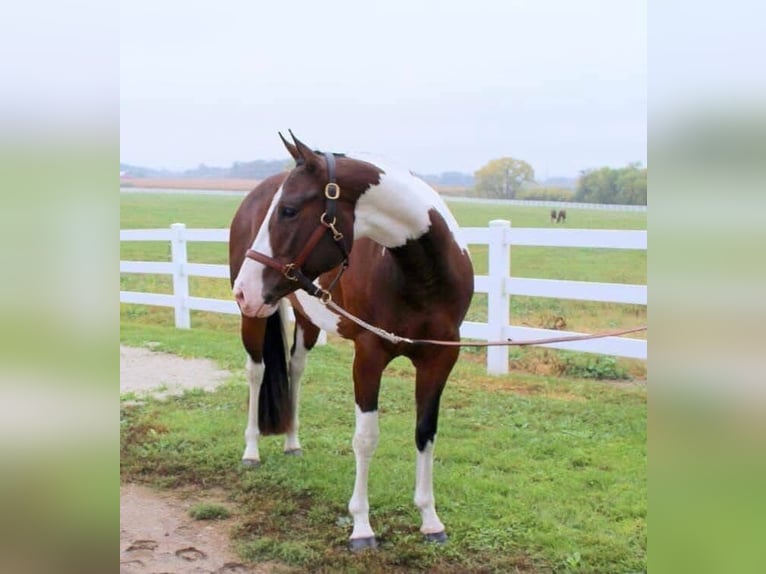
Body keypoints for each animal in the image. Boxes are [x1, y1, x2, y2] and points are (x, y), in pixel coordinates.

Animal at [229, 132, 474, 550]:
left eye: (289, 210)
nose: (243, 289)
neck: (421, 274)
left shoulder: (438, 360)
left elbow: (425, 433)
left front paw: (430, 520)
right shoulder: (369, 356)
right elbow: (366, 438)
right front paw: (362, 527)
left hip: (305, 318)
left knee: (295, 370)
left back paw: (292, 441)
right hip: (256, 317)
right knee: (256, 372)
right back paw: (251, 450)